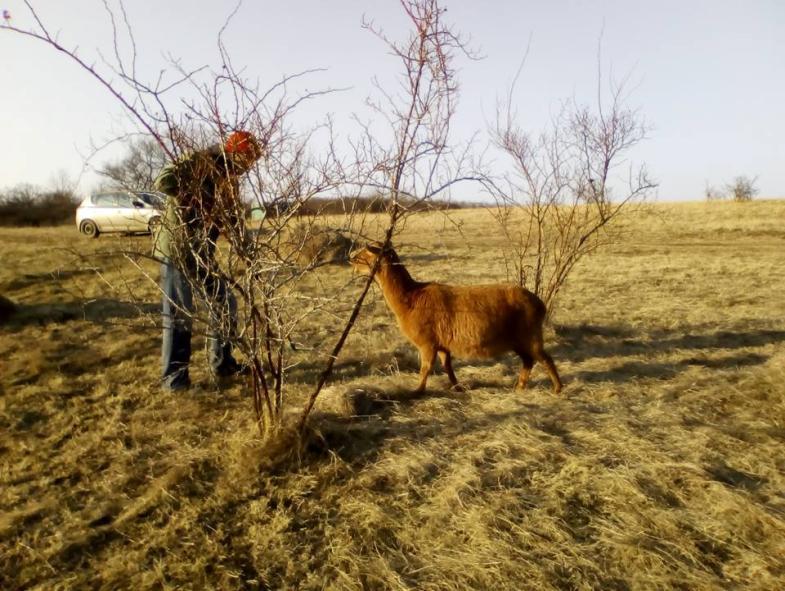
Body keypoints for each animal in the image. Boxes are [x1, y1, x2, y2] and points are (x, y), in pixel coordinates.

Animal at [350, 243, 564, 396]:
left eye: (364, 255)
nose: (350, 259)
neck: (410, 298)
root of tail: (540, 303)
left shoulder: (427, 343)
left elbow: (425, 368)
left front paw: (417, 391)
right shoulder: (443, 344)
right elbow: (448, 367)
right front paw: (458, 388)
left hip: (529, 334)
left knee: (545, 358)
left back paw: (557, 389)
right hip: (517, 340)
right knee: (529, 361)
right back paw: (519, 387)